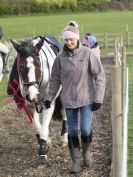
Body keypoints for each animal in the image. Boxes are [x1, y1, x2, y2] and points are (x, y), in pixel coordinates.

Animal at [9, 36, 67, 165]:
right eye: (21, 67)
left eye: (38, 65)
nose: (33, 95)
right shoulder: (29, 105)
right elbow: (38, 127)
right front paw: (46, 142)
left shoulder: (48, 103)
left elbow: (44, 130)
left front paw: (42, 154)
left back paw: (64, 138)